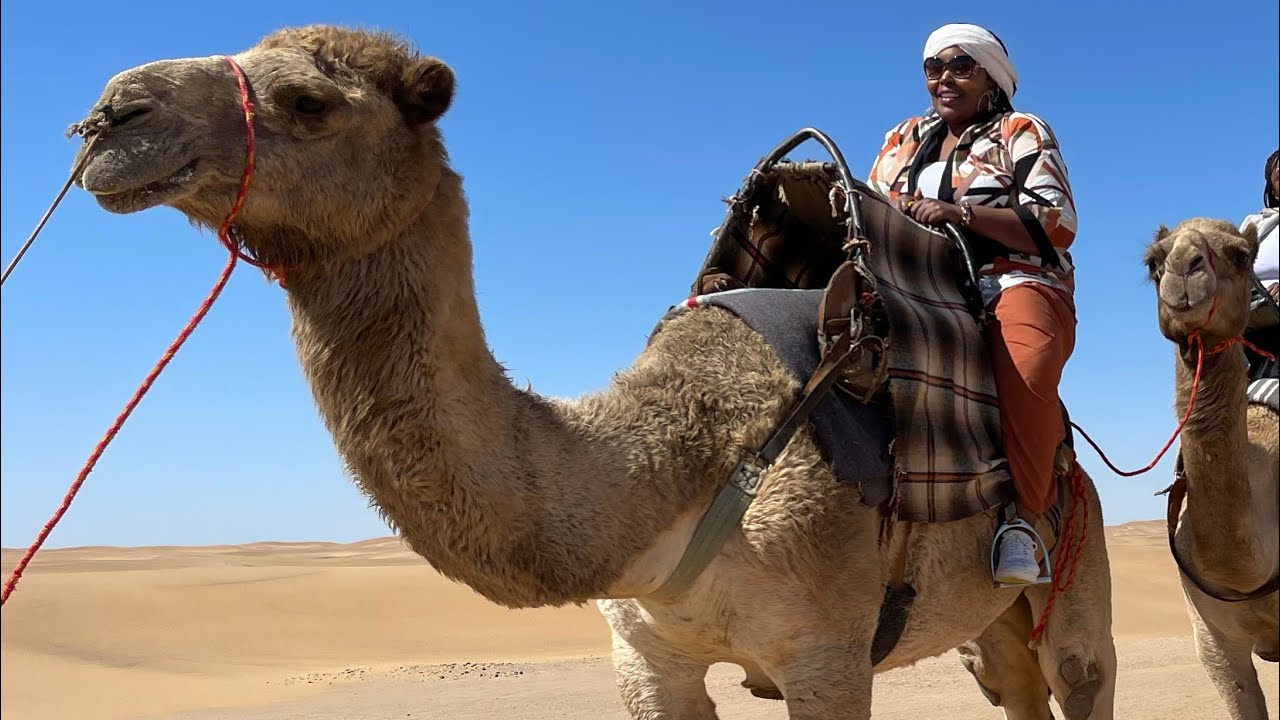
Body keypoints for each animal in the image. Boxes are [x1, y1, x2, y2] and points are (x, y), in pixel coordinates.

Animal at [68, 25, 1118, 719]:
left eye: (308, 102)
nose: (109, 115)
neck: (675, 470)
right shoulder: (645, 657)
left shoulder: (827, 654)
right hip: (983, 626)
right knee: (1013, 684)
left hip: (1073, 555)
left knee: (1075, 672)